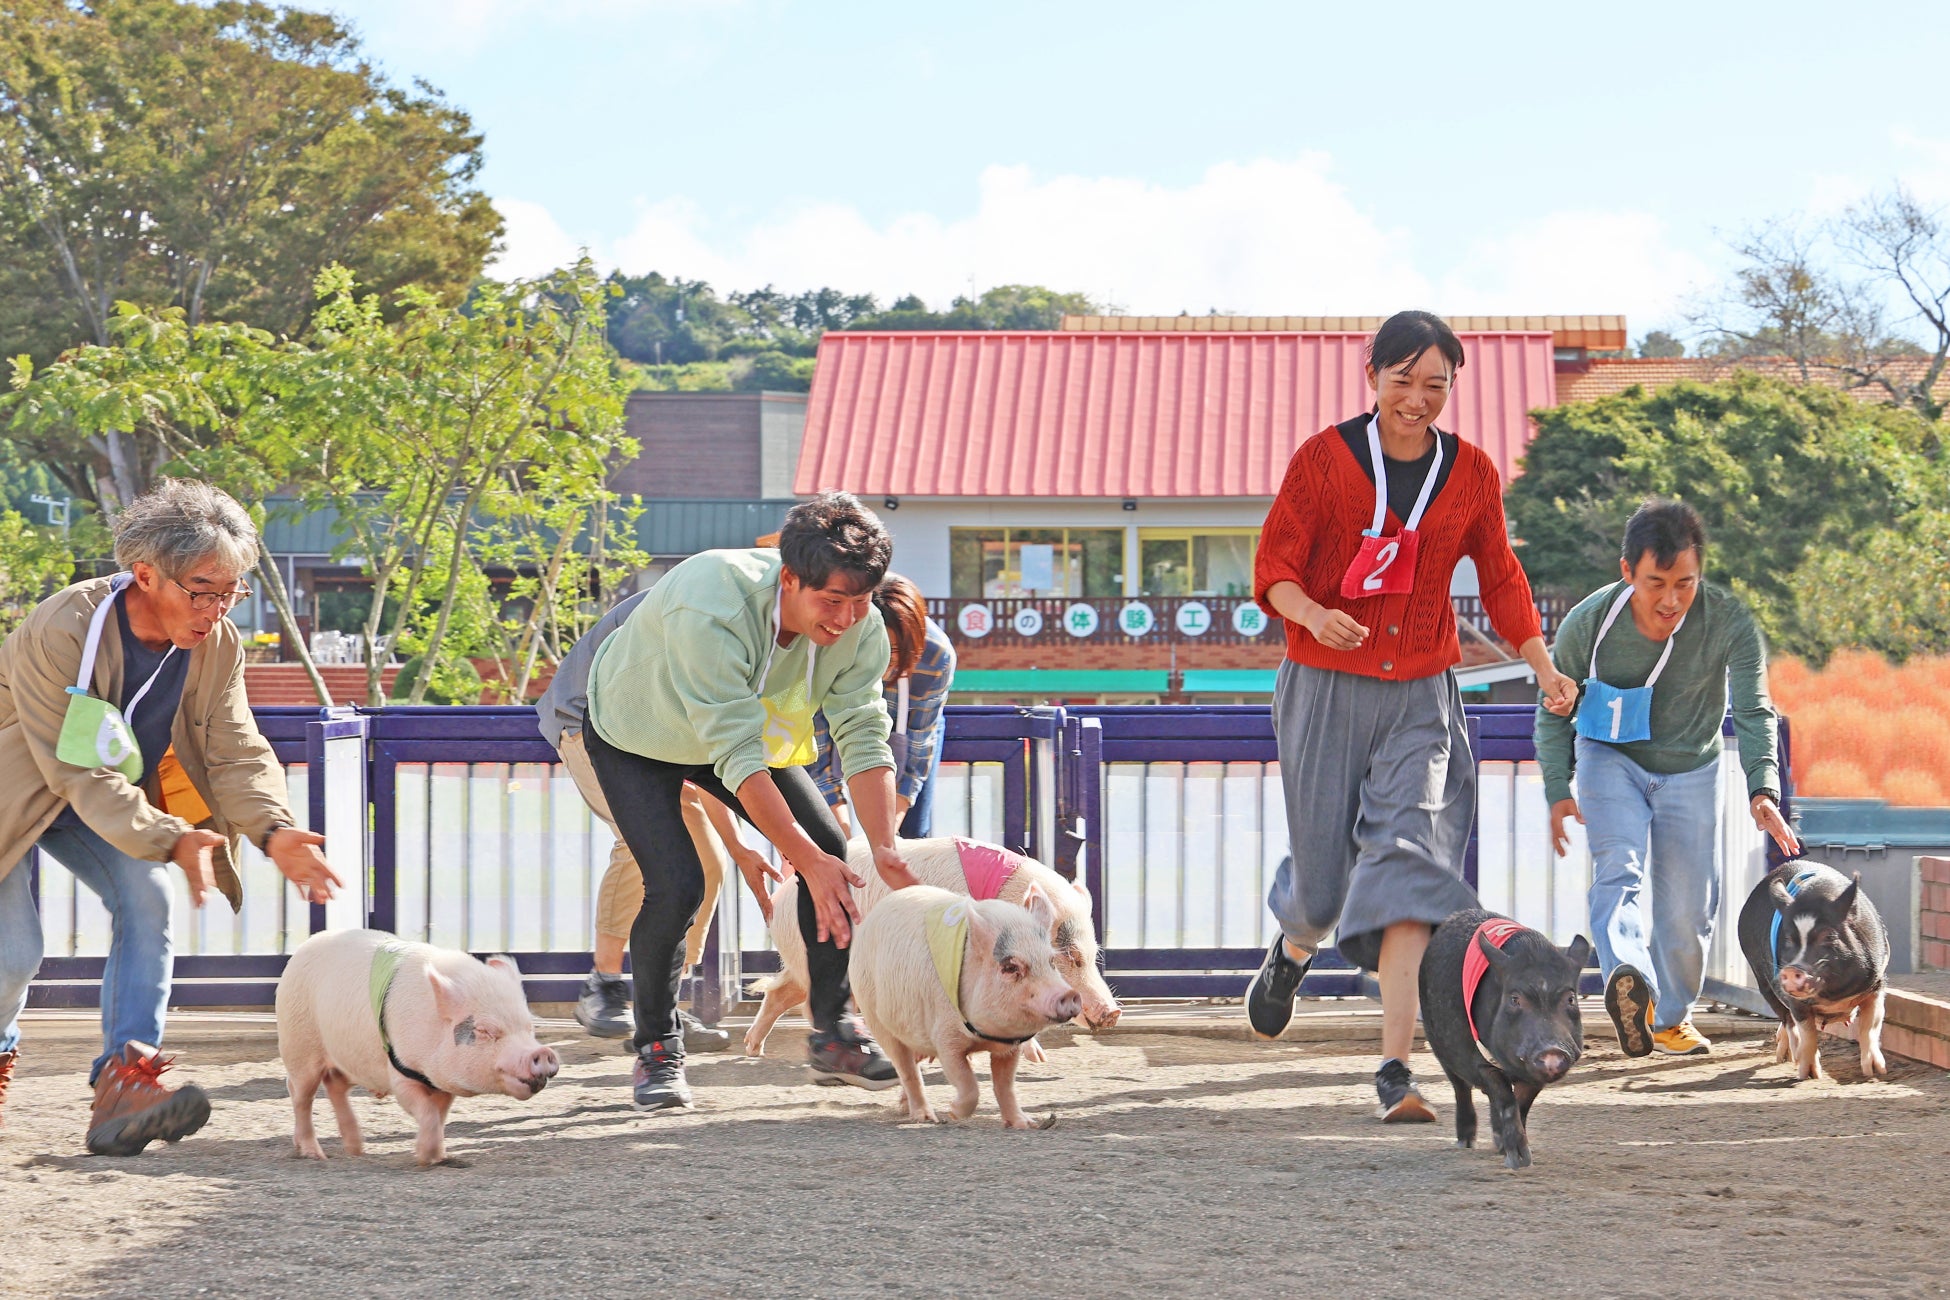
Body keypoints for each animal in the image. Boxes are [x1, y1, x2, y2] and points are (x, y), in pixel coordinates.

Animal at [271, 931, 557, 1161]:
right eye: (485, 1030)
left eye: (529, 1027)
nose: (542, 1052)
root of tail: (303, 948)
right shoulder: (400, 1072)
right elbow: (426, 1112)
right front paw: (426, 1159)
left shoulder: (442, 1083)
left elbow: (439, 1116)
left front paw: (440, 1156)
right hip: (299, 1046)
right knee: (300, 1095)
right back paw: (315, 1155)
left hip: (350, 1059)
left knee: (334, 1085)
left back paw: (357, 1150)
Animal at [850, 884, 1084, 1130]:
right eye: (1010, 967)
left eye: (1051, 962)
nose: (1069, 994)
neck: (989, 1035)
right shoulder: (944, 1037)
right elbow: (966, 1081)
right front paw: (953, 1113)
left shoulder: (1011, 1046)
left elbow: (1005, 1085)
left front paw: (1024, 1124)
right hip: (875, 1016)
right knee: (906, 1070)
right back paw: (925, 1118)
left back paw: (906, 1107)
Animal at [1419, 912, 1599, 1177]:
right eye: (1515, 999)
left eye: (1570, 998)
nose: (1552, 1051)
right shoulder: (1478, 1060)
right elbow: (1504, 1096)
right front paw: (1518, 1160)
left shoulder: (1534, 1076)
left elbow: (1521, 1103)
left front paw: (1511, 1151)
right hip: (1439, 1045)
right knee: (1461, 1088)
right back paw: (1466, 1142)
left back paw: (1496, 1142)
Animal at [1739, 857, 1887, 1083]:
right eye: (1788, 938)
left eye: (1828, 935)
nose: (1792, 969)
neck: (1835, 995)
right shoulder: (1794, 1000)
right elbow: (1807, 1032)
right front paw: (1808, 1075)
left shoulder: (1876, 984)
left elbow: (1870, 1025)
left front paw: (1875, 1072)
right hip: (1762, 981)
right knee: (1787, 1020)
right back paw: (1791, 1058)